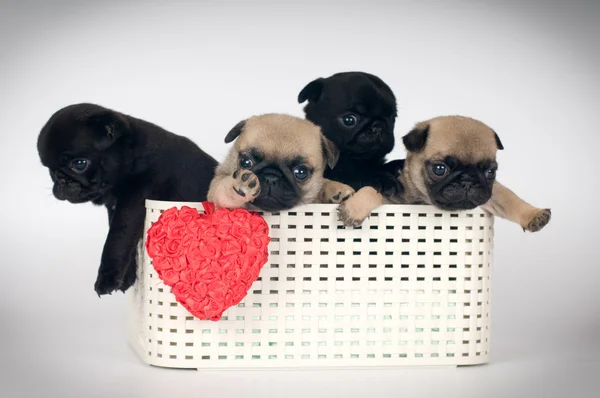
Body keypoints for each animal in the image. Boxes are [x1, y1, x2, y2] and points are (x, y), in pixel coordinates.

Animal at [36, 102, 218, 296]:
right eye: (50, 170)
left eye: (79, 164)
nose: (61, 179)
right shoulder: (116, 207)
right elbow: (126, 238)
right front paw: (126, 278)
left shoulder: (133, 201)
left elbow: (117, 238)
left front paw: (107, 279)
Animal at [298, 71, 406, 199]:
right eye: (349, 120)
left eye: (392, 117)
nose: (378, 126)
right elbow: (357, 174)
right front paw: (383, 179)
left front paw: (398, 165)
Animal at [340, 115, 552, 232]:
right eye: (440, 169)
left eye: (490, 172)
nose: (467, 180)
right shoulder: (394, 199)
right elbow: (371, 190)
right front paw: (354, 209)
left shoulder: (488, 195)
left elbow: (507, 197)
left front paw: (533, 214)